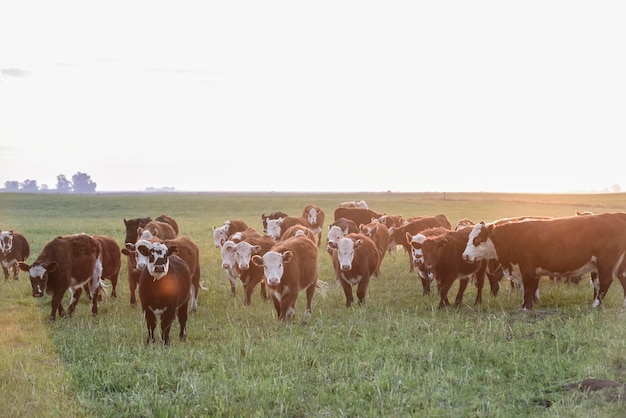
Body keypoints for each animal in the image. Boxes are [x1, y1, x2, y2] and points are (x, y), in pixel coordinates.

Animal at [458, 214, 626, 308]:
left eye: (477, 240)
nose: (464, 256)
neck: (514, 236)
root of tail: (617, 215)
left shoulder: (527, 268)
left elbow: (528, 289)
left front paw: (526, 307)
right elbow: (528, 288)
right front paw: (526, 304)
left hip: (605, 263)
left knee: (605, 282)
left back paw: (595, 305)